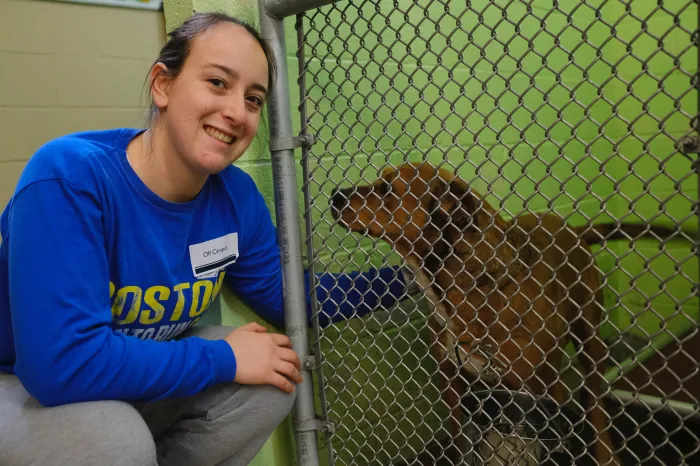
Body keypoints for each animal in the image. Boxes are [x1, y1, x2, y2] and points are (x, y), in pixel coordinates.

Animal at [328, 162, 680, 464]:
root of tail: (574, 229)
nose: (335, 195)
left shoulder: (542, 391)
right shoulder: (453, 386)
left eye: (387, 188)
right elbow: (460, 439)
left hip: (589, 340)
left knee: (595, 402)